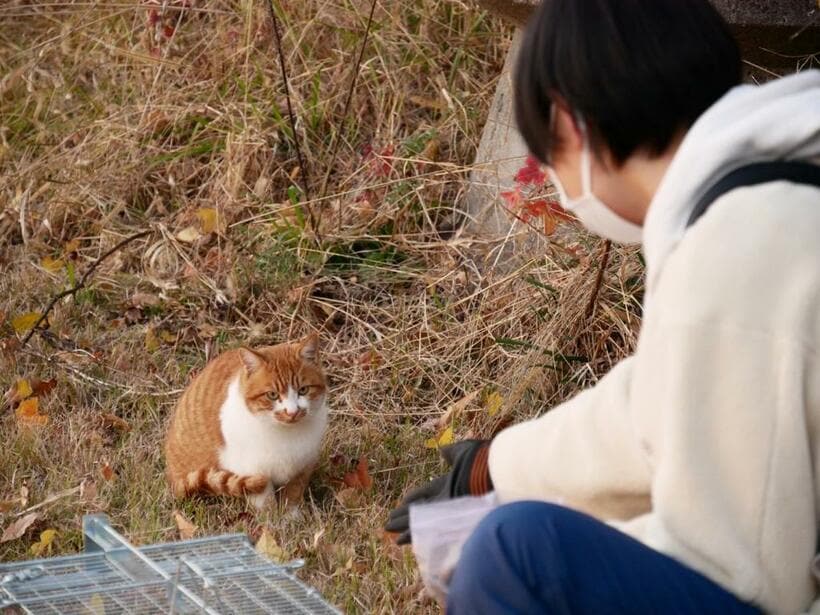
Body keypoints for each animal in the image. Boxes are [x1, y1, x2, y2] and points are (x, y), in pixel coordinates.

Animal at [165, 334, 328, 508]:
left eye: (303, 390)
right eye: (272, 395)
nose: (292, 412)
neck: (285, 434)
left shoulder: (303, 466)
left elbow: (292, 496)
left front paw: (289, 514)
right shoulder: (251, 471)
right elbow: (265, 501)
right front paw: (271, 515)